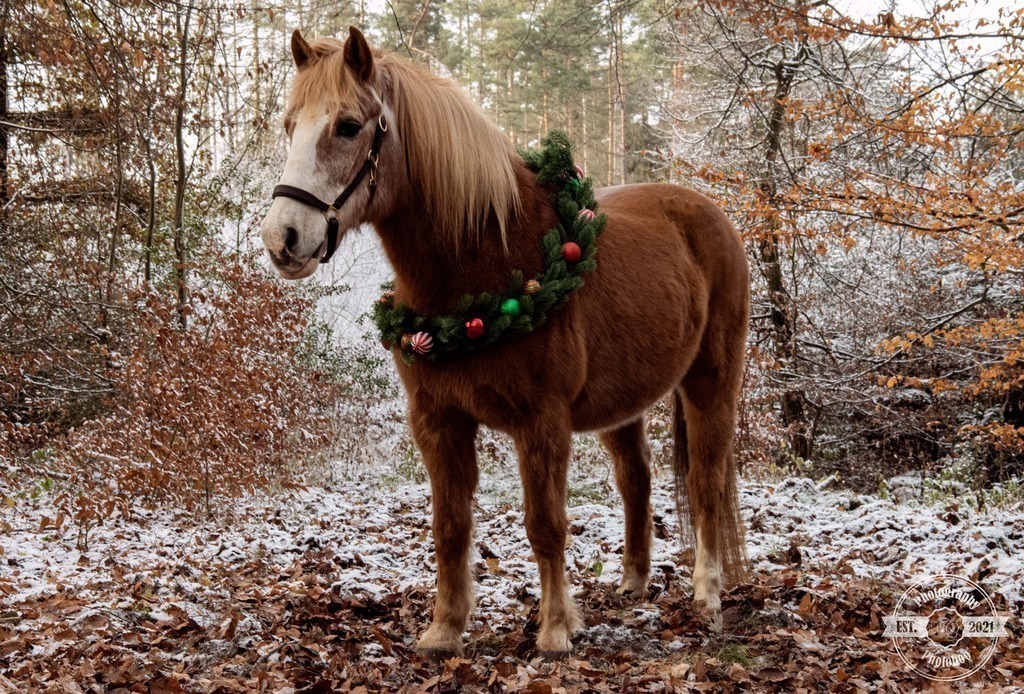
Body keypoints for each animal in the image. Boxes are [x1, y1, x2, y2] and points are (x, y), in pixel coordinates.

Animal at [261, 26, 750, 657]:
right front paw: (444, 629)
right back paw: (633, 582)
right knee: (636, 479)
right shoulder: (437, 419)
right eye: (289, 125)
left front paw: (555, 629)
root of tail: (708, 214)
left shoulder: (541, 421)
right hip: (624, 404)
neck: (490, 259)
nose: (283, 238)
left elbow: (545, 526)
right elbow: (450, 526)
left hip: (711, 381)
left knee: (706, 482)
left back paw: (708, 596)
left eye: (348, 126)